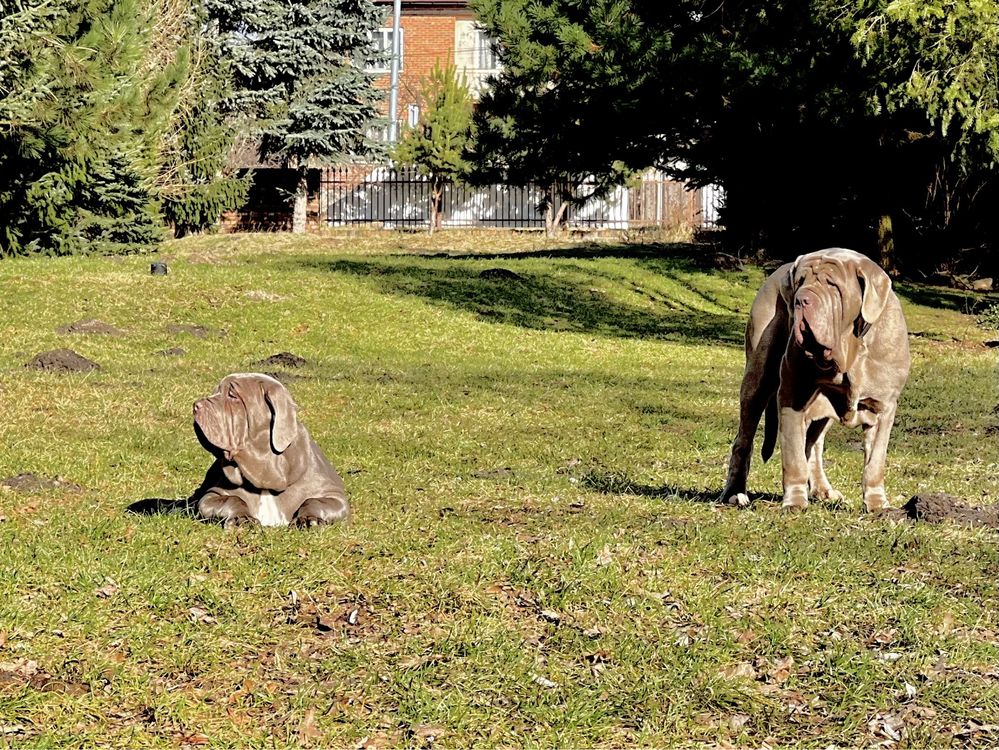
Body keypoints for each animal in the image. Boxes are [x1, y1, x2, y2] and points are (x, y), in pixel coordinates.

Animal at [192, 374, 352, 528]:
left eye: (232, 395)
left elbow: (313, 501)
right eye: (215, 392)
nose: (196, 406)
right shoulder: (211, 495)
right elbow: (232, 498)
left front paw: (308, 519)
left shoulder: (333, 495)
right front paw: (240, 519)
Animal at [724, 250, 912, 516]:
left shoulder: (883, 408)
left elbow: (875, 463)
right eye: (800, 282)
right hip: (756, 381)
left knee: (813, 443)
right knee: (744, 439)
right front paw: (794, 502)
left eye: (832, 284)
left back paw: (822, 491)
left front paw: (877, 504)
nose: (801, 300)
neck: (848, 351)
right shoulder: (791, 397)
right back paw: (734, 493)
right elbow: (793, 457)